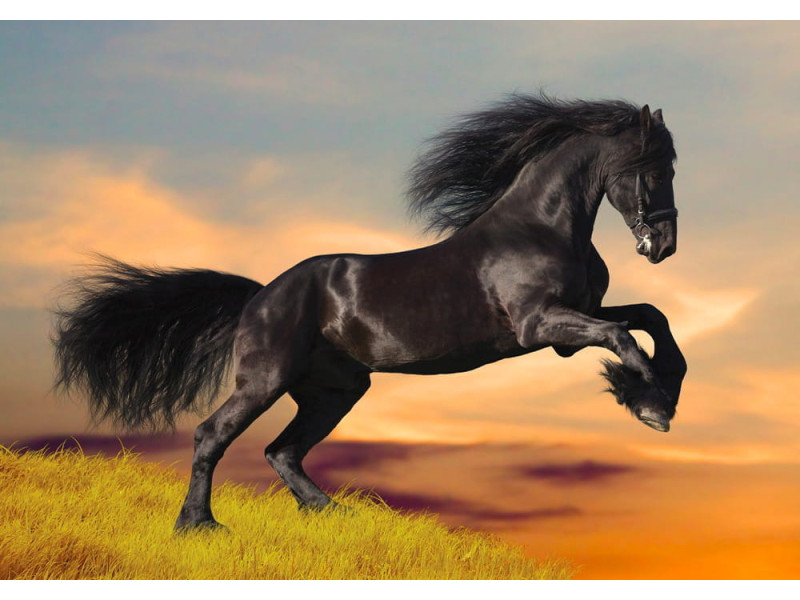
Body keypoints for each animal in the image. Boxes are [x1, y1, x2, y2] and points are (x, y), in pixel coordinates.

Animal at [52, 94, 687, 531]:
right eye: (656, 168)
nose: (664, 245)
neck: (539, 228)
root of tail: (259, 296)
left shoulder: (572, 324)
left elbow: (650, 317)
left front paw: (661, 392)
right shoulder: (541, 326)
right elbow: (623, 337)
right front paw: (650, 405)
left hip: (335, 390)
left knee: (282, 451)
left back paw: (333, 515)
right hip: (266, 379)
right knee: (214, 435)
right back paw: (198, 525)